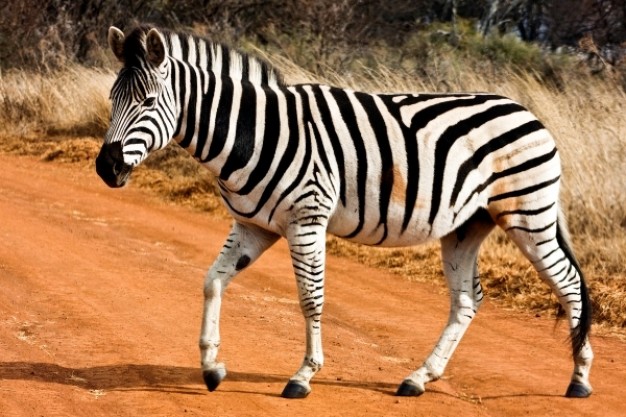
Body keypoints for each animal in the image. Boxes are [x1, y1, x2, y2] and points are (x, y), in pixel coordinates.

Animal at [95, 23, 592, 400]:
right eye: (112, 100)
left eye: (148, 102)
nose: (106, 167)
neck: (253, 132)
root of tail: (527, 112)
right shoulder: (254, 226)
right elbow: (212, 281)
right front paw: (211, 365)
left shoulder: (307, 219)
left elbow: (311, 298)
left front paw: (303, 376)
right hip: (468, 225)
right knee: (468, 300)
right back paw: (419, 378)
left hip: (528, 214)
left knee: (569, 285)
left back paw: (579, 380)